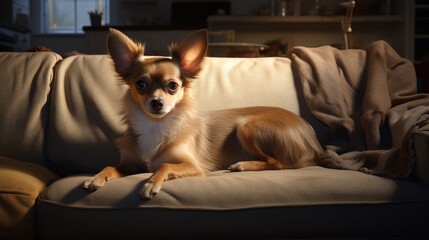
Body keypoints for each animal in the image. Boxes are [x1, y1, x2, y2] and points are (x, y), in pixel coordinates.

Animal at [82, 28, 360, 200]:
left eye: (172, 86)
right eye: (140, 85)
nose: (157, 103)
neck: (155, 125)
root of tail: (314, 142)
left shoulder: (192, 165)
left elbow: (164, 166)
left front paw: (150, 182)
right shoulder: (130, 164)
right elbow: (111, 166)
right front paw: (97, 177)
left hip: (247, 127)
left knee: (278, 163)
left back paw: (243, 165)